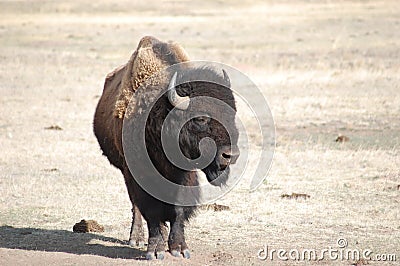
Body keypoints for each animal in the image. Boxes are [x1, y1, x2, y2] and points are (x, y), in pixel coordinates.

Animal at [92, 36, 239, 258]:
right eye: (200, 118)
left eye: (232, 115)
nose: (230, 155)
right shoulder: (139, 175)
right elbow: (151, 211)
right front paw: (155, 250)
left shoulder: (185, 177)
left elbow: (178, 210)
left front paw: (179, 249)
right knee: (136, 206)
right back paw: (136, 238)